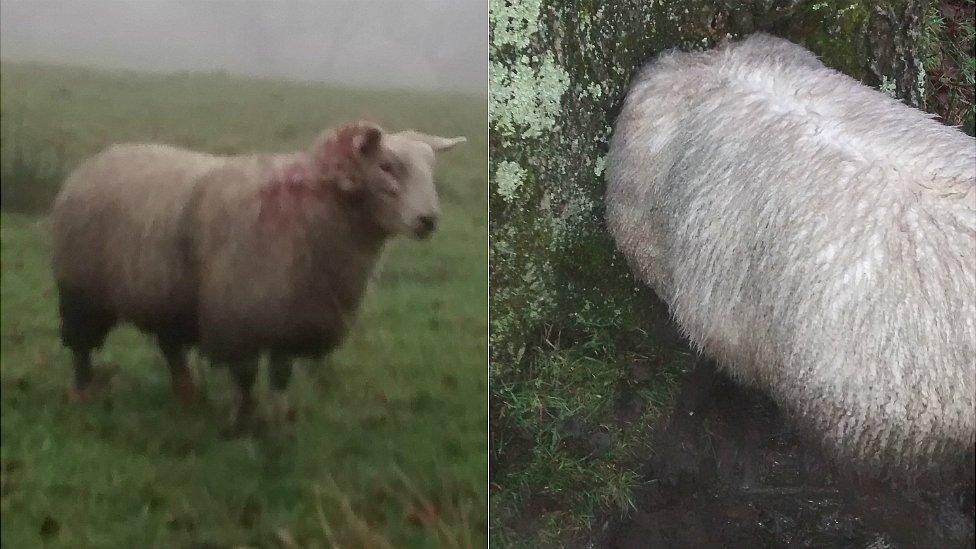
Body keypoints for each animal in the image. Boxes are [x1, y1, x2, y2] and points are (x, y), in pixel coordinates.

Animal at [50, 122, 468, 424]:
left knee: (171, 349)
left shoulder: (290, 322)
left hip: (169, 299)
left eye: (432, 171)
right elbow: (247, 375)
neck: (313, 211)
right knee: (81, 347)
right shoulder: (240, 318)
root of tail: (97, 159)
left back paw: (187, 395)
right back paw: (81, 393)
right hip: (81, 291)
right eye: (386, 167)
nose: (428, 221)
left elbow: (280, 376)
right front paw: (243, 419)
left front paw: (277, 419)